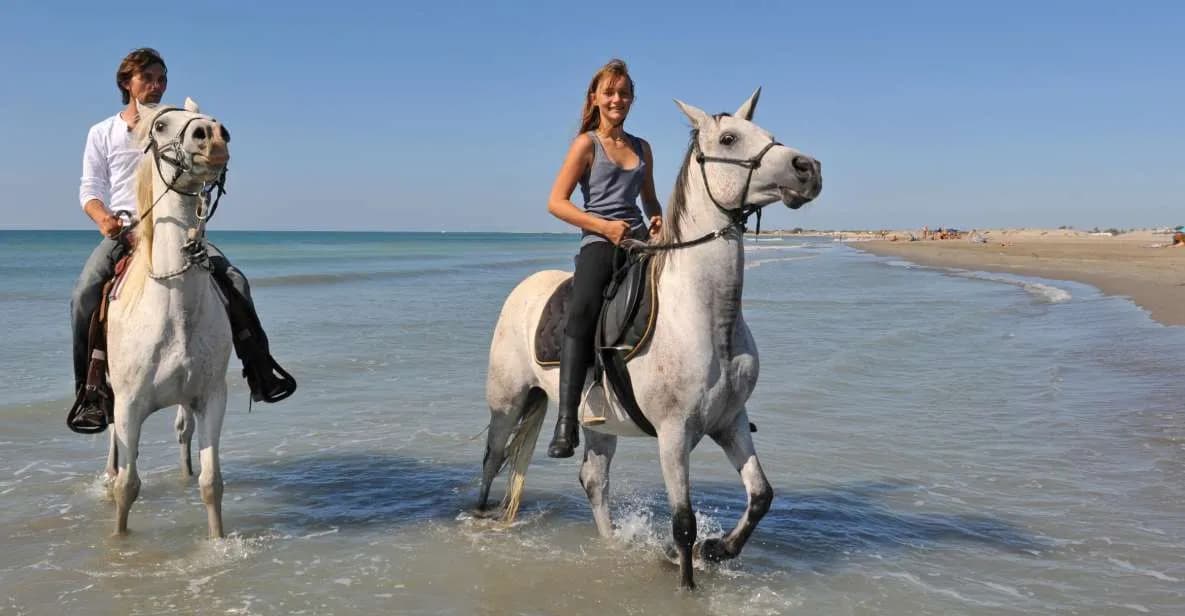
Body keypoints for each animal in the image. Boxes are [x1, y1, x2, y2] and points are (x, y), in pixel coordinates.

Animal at [104, 98, 233, 538]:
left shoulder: (211, 398)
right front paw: (119, 541)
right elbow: (128, 486)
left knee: (182, 433)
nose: (213, 136)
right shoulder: (129, 405)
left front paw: (217, 542)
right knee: (113, 445)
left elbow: (211, 483)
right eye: (161, 126)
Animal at [478, 89, 822, 588]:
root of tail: (523, 289)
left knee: (593, 480)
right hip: (507, 401)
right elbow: (683, 522)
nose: (808, 168)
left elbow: (761, 495)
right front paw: (688, 582)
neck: (705, 316)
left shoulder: (730, 421)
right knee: (493, 458)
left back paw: (611, 545)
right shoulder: (673, 434)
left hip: (598, 423)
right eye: (729, 138)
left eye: (768, 134)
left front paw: (718, 549)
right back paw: (479, 518)